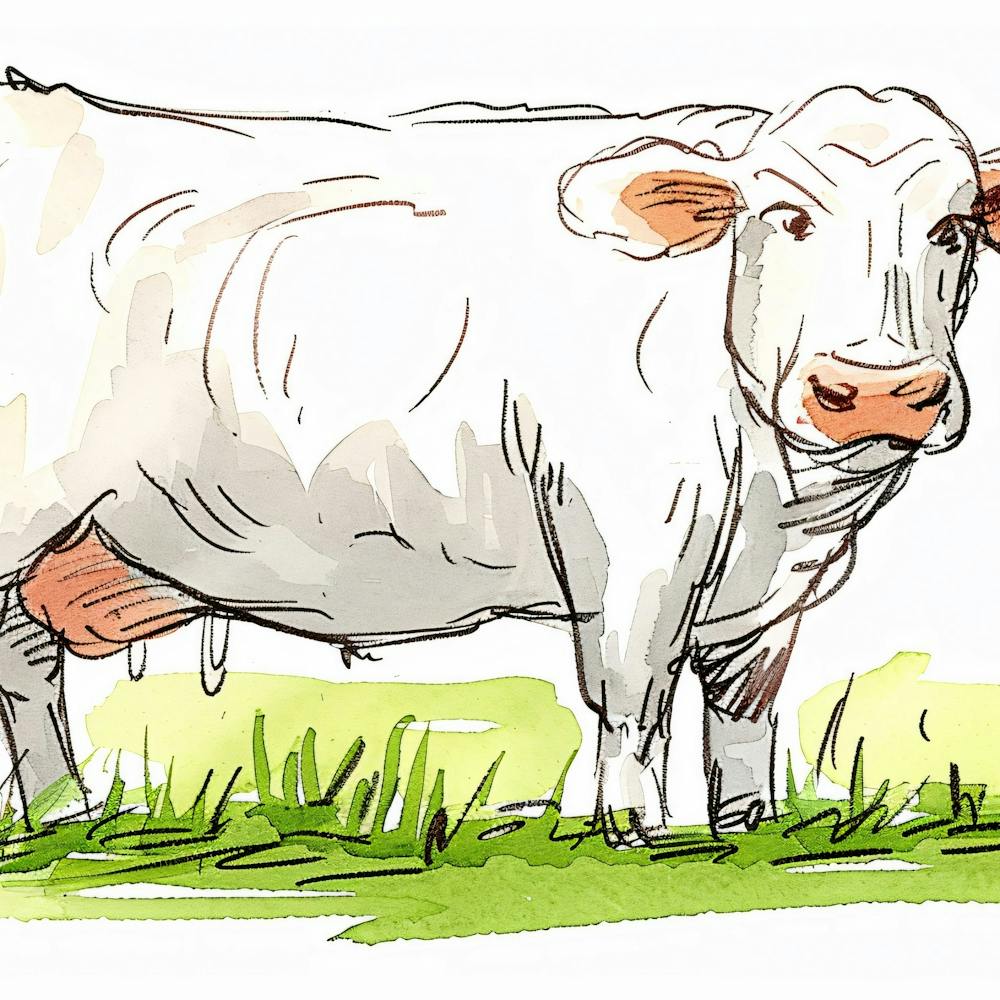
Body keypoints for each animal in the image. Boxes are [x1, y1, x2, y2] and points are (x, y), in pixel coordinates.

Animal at [0, 68, 997, 839]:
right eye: (787, 218)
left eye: (953, 231)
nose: (878, 389)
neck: (781, 492)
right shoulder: (635, 543)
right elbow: (634, 694)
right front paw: (635, 831)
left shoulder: (777, 586)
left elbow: (743, 712)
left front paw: (747, 827)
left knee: (24, 656)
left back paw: (62, 814)